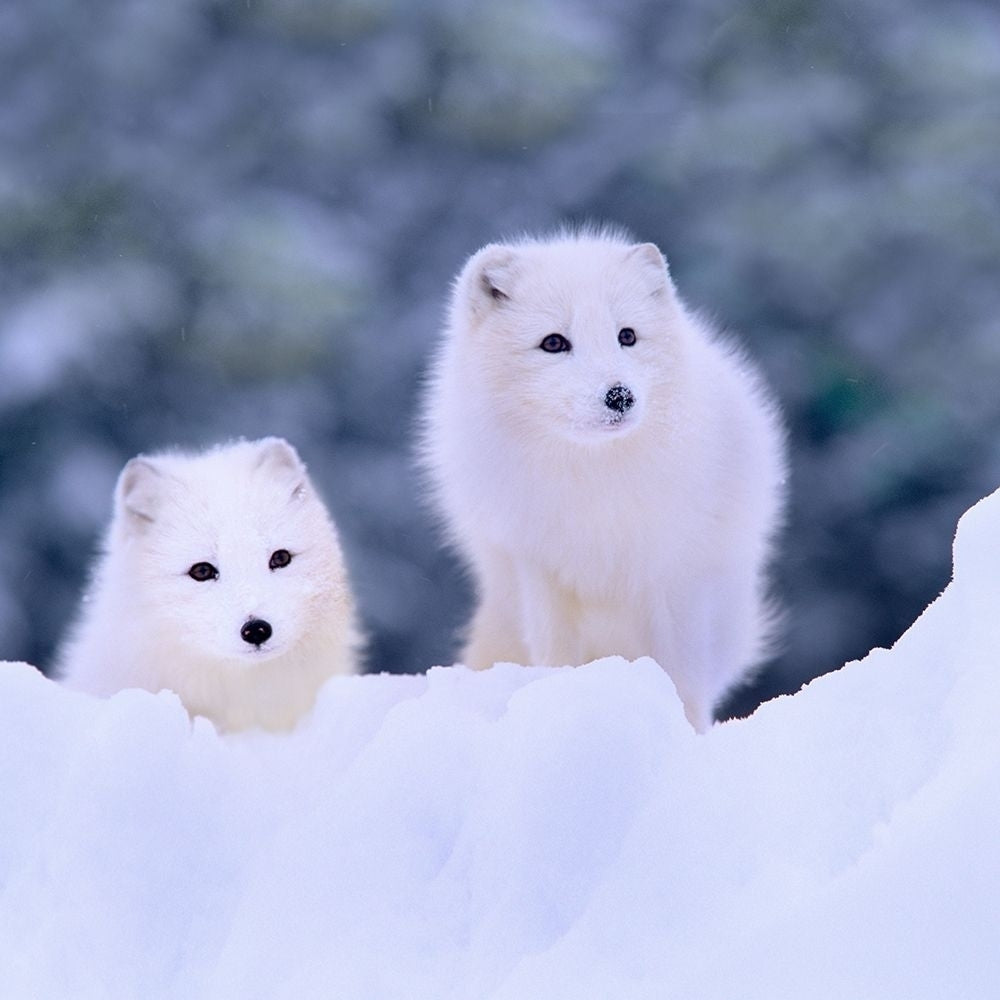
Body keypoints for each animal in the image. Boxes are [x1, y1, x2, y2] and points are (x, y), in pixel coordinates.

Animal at [418, 227, 784, 732]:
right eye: (554, 343)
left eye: (626, 336)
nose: (619, 396)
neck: (593, 481)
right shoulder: (540, 569)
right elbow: (556, 657)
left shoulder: (674, 573)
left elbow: (681, 676)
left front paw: (686, 732)